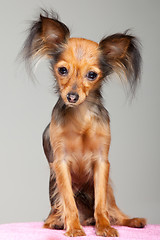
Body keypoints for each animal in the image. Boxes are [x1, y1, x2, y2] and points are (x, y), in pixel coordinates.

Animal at [22, 10, 146, 236]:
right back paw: (59, 221)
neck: (81, 117)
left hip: (109, 190)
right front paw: (73, 227)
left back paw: (131, 220)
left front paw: (104, 227)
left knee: (114, 211)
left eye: (92, 75)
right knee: (59, 208)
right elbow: (69, 203)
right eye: (63, 70)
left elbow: (101, 204)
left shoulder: (102, 162)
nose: (72, 96)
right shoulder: (61, 163)